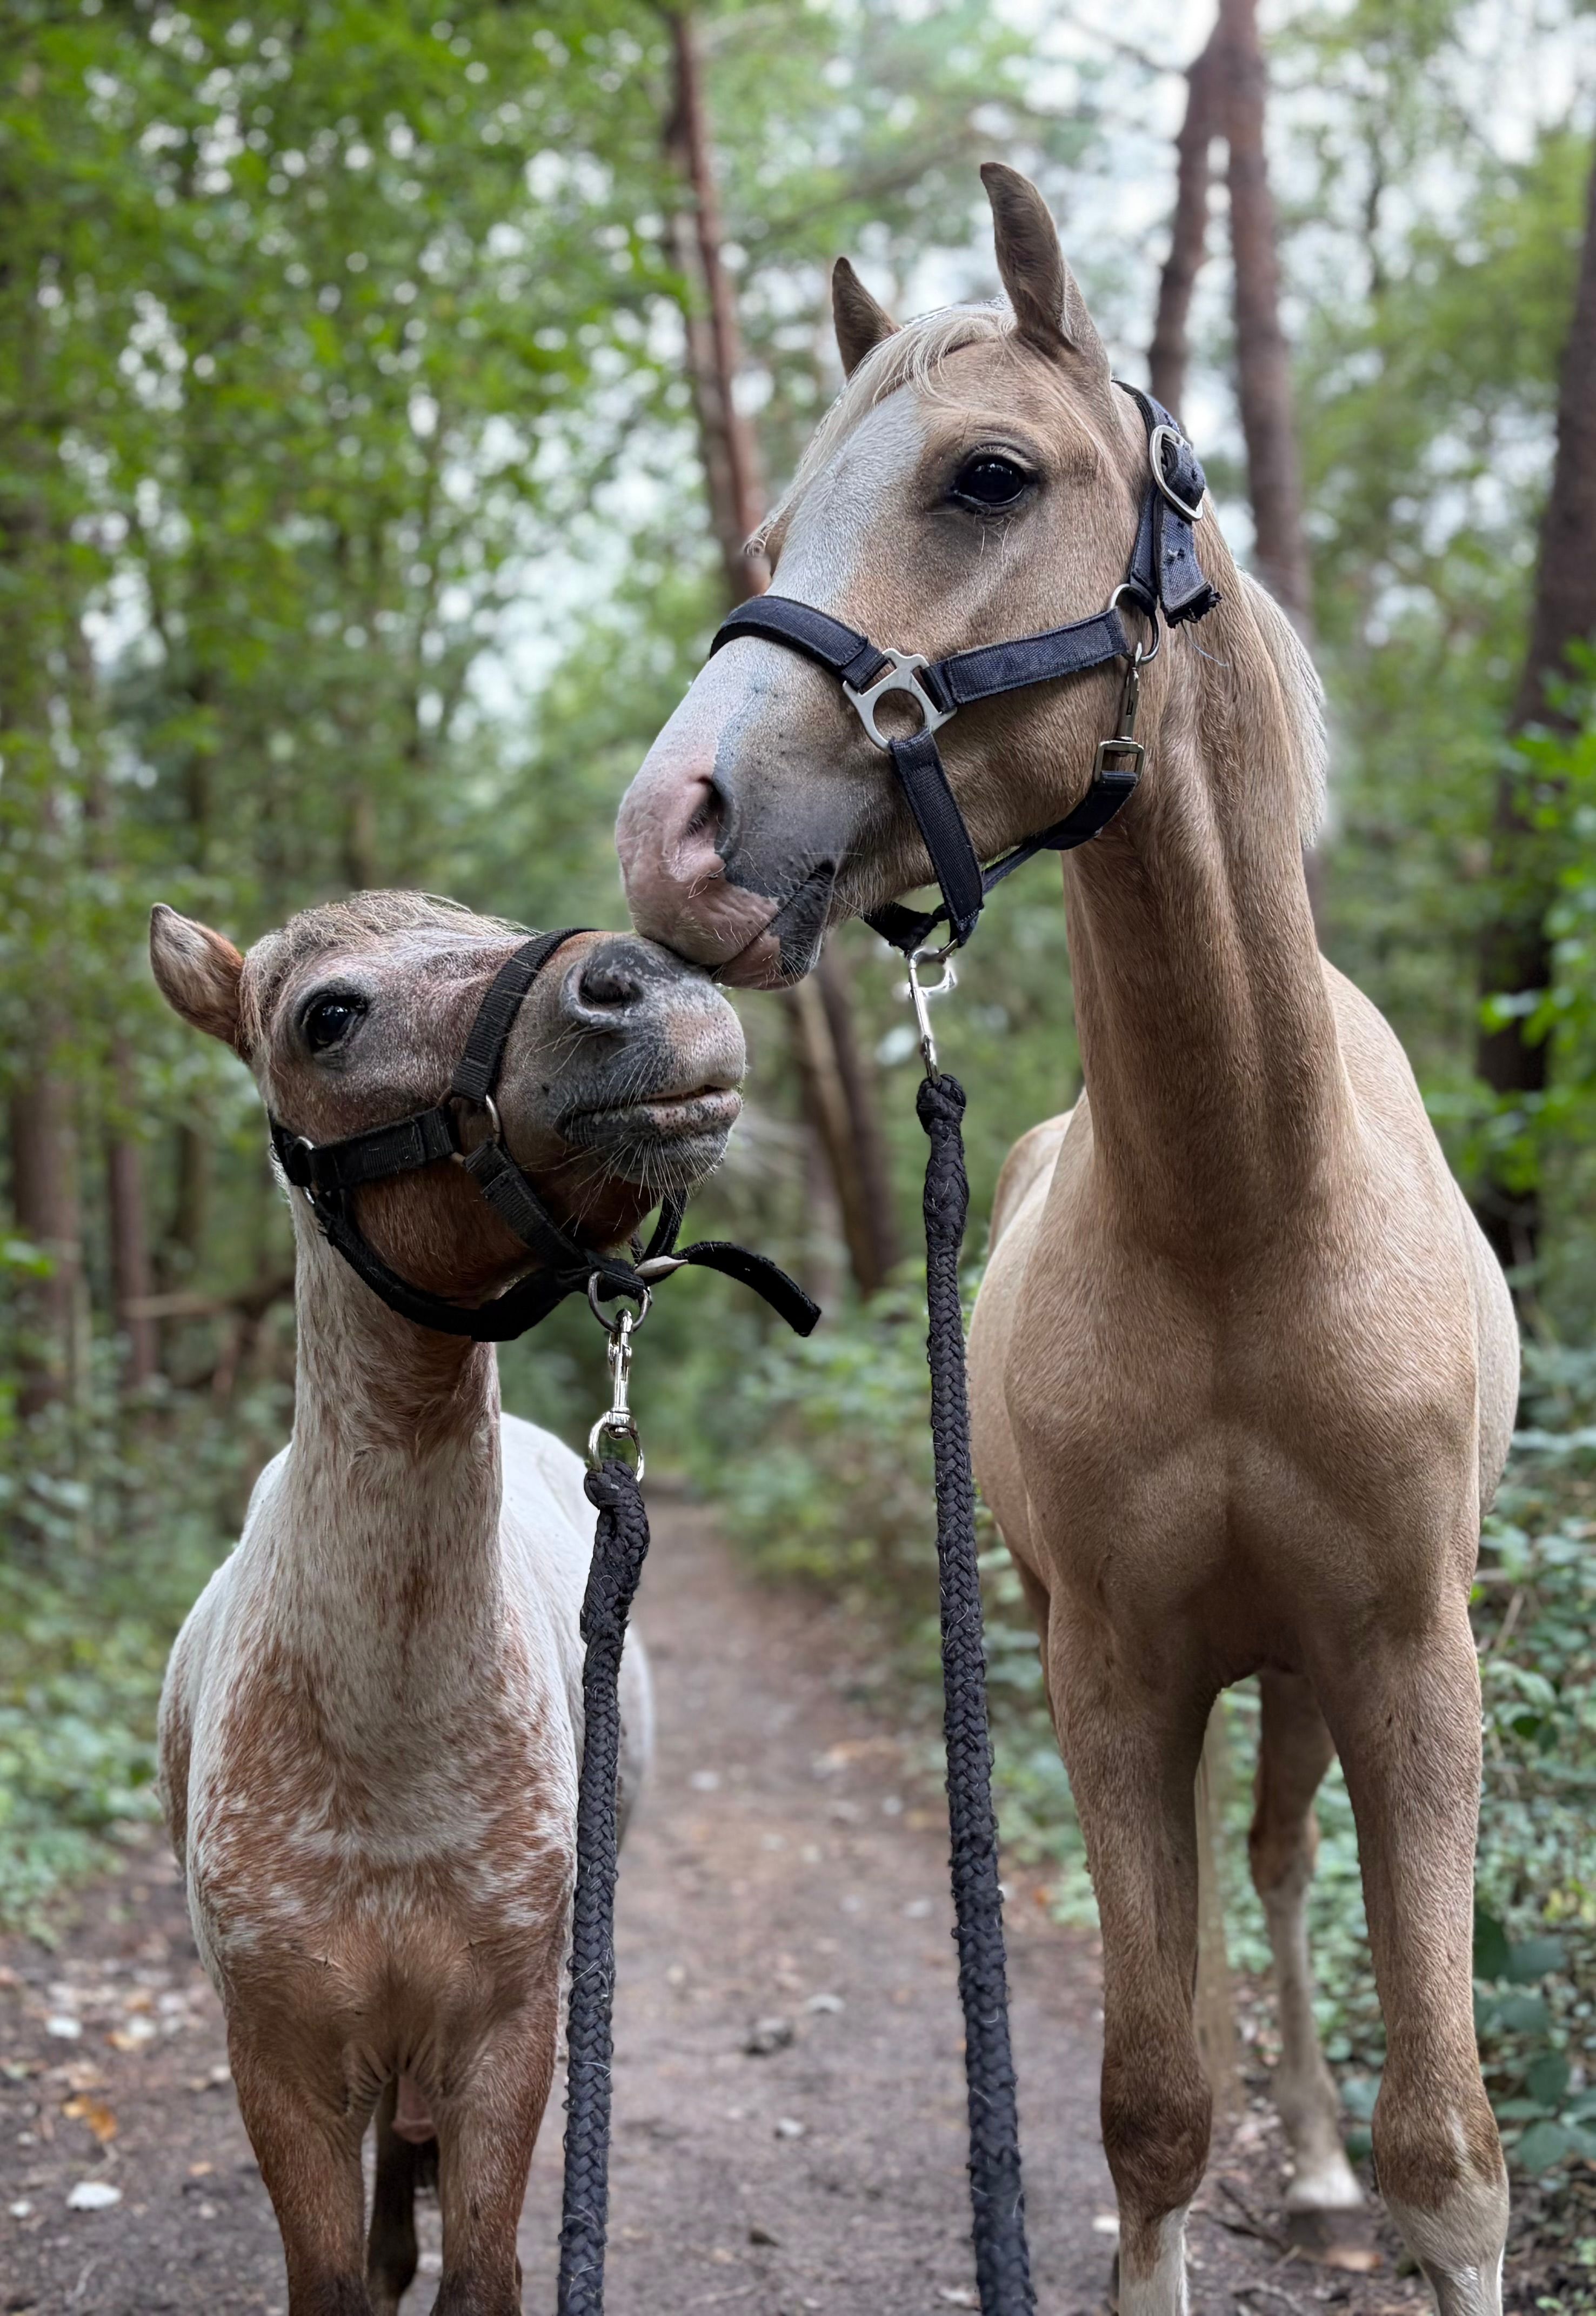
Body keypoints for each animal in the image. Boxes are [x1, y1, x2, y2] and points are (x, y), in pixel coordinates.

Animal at [149, 894, 744, 2316]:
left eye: (500, 924)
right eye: (327, 1017)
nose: (653, 983)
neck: (386, 1754)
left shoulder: (505, 2038)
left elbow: (483, 2270)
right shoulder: (280, 2059)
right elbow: (331, 2276)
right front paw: (376, 2253)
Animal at [614, 165, 1516, 2316]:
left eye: (986, 476)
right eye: (777, 531)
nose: (670, 830)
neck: (1240, 1213)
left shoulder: (1410, 1661)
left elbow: (1453, 2153)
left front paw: (1381, 2177)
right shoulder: (1104, 1667)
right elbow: (1150, 2111)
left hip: (1306, 1669)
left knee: (1278, 1864)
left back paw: (1324, 2170)